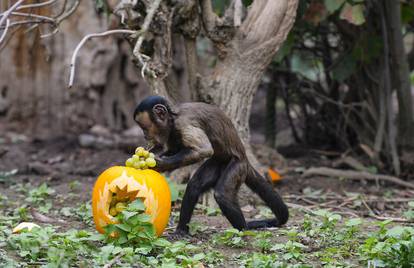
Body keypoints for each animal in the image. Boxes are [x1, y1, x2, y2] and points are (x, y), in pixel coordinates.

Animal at [133, 95, 288, 236]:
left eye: (144, 127)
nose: (145, 135)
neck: (172, 117)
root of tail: (245, 158)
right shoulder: (171, 131)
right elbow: (173, 149)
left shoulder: (183, 124)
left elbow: (204, 150)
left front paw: (159, 164)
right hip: (218, 162)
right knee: (194, 186)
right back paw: (182, 230)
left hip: (238, 166)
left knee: (222, 195)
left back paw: (243, 230)